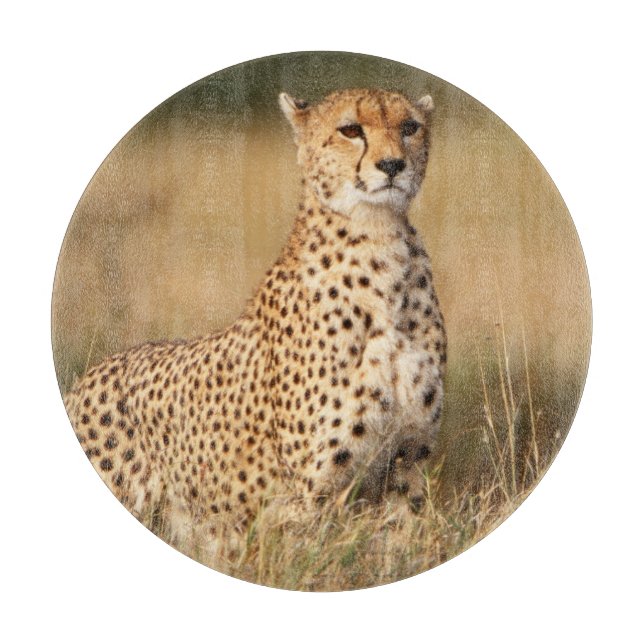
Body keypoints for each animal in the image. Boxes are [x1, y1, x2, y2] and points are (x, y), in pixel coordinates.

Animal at [63, 88, 447, 546]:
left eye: (410, 127)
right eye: (351, 130)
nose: (392, 165)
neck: (380, 242)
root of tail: (86, 378)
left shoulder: (408, 466)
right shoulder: (310, 495)